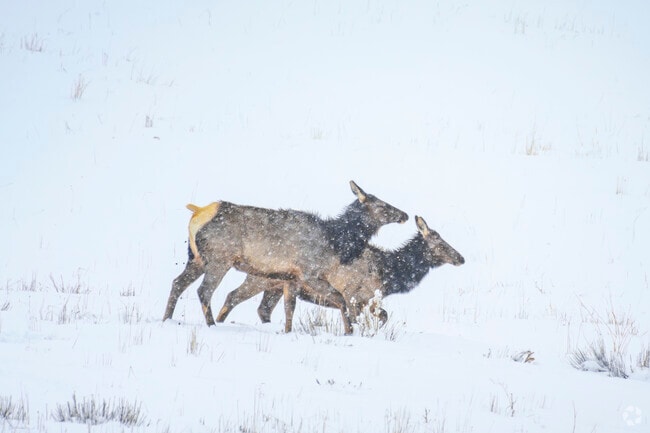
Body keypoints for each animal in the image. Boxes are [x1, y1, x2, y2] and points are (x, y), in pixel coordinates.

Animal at [162, 181, 408, 334]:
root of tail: (198, 211)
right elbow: (340, 299)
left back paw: (167, 319)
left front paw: (288, 331)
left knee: (177, 282)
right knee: (204, 291)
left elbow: (289, 308)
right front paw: (349, 331)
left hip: (196, 258)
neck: (336, 241)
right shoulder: (310, 272)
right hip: (219, 259)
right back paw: (212, 325)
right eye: (382, 205)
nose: (404, 214)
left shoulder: (292, 277)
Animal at [216, 216, 464, 330]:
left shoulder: (368, 301)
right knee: (233, 296)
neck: (387, 273)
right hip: (258, 279)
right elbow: (355, 320)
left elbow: (383, 315)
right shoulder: (352, 295)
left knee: (263, 309)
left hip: (276, 285)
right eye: (440, 242)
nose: (461, 258)